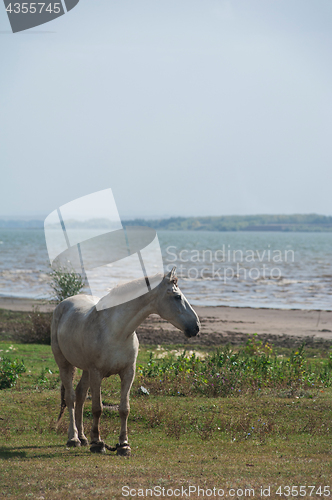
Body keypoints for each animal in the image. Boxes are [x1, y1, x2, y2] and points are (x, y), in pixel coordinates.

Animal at [52, 268, 200, 456]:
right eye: (177, 297)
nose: (196, 327)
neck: (116, 331)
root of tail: (63, 304)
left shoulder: (128, 372)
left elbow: (124, 409)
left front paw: (123, 445)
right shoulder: (97, 373)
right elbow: (97, 408)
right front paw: (97, 443)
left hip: (85, 370)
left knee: (80, 395)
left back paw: (83, 437)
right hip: (64, 364)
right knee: (71, 398)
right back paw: (74, 438)